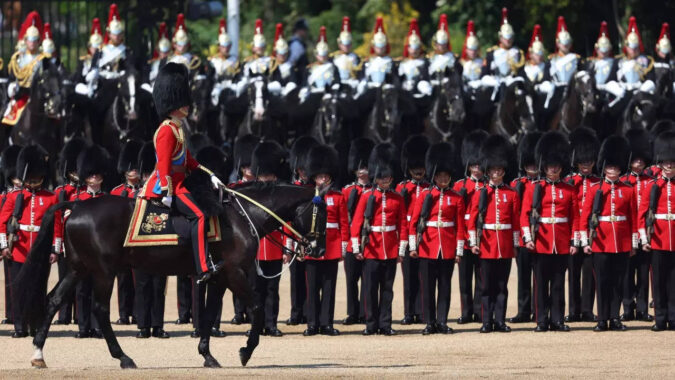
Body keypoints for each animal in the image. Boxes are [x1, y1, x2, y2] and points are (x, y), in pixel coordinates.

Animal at [16, 180, 330, 370]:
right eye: (322, 214)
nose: (319, 249)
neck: (244, 216)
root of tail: (78, 204)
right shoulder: (235, 273)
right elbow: (256, 307)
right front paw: (246, 351)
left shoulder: (218, 277)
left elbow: (208, 314)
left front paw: (207, 354)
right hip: (104, 271)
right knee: (100, 309)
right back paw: (123, 357)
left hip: (78, 268)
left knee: (54, 300)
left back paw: (38, 354)